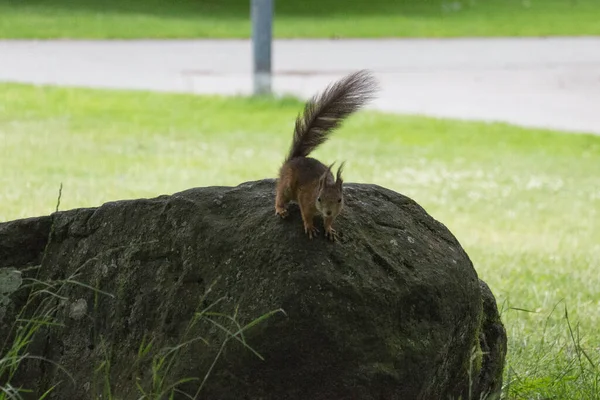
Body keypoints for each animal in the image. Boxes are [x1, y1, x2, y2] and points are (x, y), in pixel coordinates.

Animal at [274, 69, 378, 241]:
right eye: (319, 198)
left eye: (339, 200)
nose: (328, 211)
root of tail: (293, 159)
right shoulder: (305, 200)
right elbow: (306, 215)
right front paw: (310, 227)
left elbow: (330, 221)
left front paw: (329, 229)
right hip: (287, 184)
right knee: (280, 195)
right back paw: (280, 209)